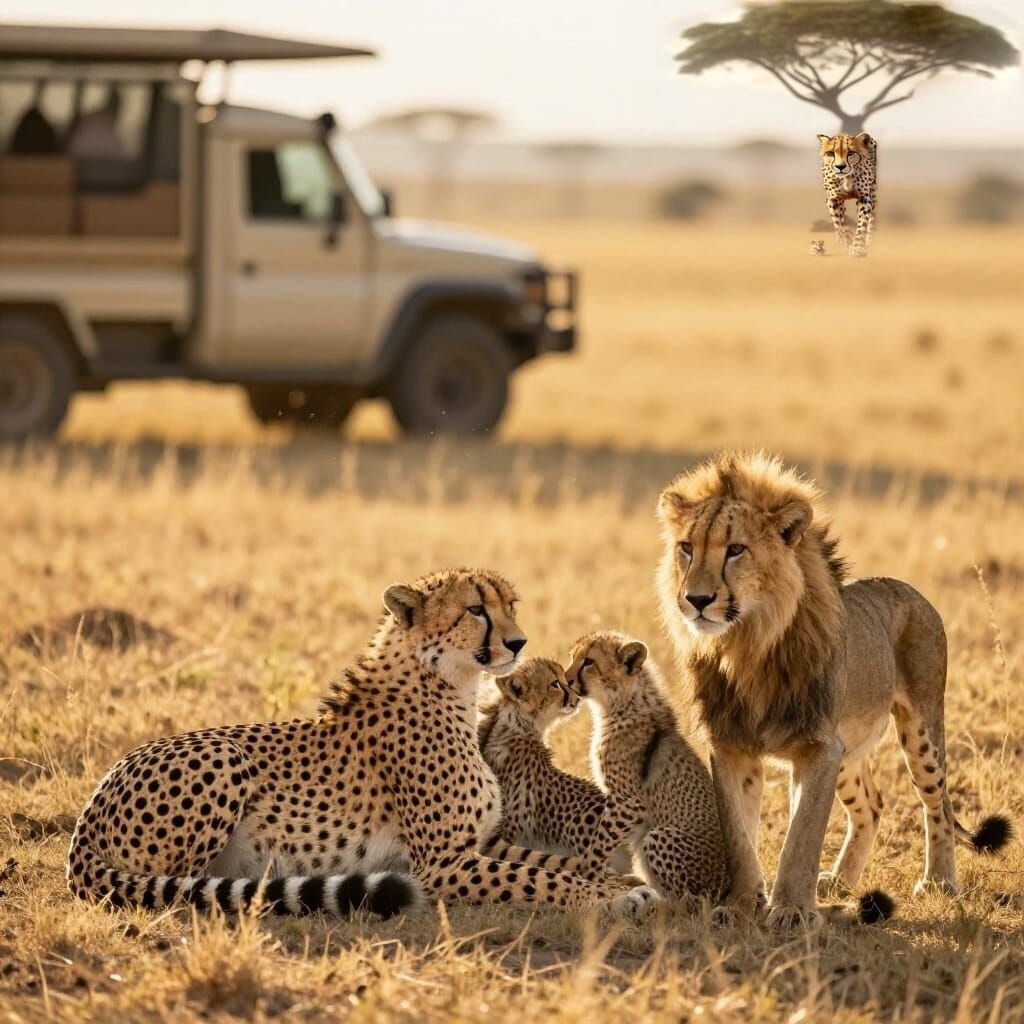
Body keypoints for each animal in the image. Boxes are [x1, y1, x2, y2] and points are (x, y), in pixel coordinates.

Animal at [67, 568, 657, 921]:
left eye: (510, 604)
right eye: (475, 610)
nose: (517, 642)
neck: (450, 688)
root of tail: (88, 815)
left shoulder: (480, 841)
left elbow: (555, 861)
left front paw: (620, 879)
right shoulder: (439, 864)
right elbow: (539, 876)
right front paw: (612, 897)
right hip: (222, 757)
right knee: (180, 886)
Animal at [566, 631, 728, 903]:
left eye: (588, 662)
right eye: (572, 657)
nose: (565, 681)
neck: (622, 702)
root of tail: (722, 888)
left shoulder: (629, 802)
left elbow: (600, 842)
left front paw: (587, 874)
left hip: (659, 835)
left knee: (685, 902)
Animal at [657, 451, 1011, 929]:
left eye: (736, 550)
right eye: (687, 548)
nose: (696, 599)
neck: (745, 646)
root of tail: (904, 586)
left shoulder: (818, 745)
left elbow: (802, 835)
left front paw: (791, 909)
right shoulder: (731, 744)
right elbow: (738, 837)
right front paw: (740, 905)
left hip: (921, 727)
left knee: (936, 802)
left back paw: (938, 881)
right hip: (848, 749)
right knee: (872, 804)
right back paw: (839, 881)